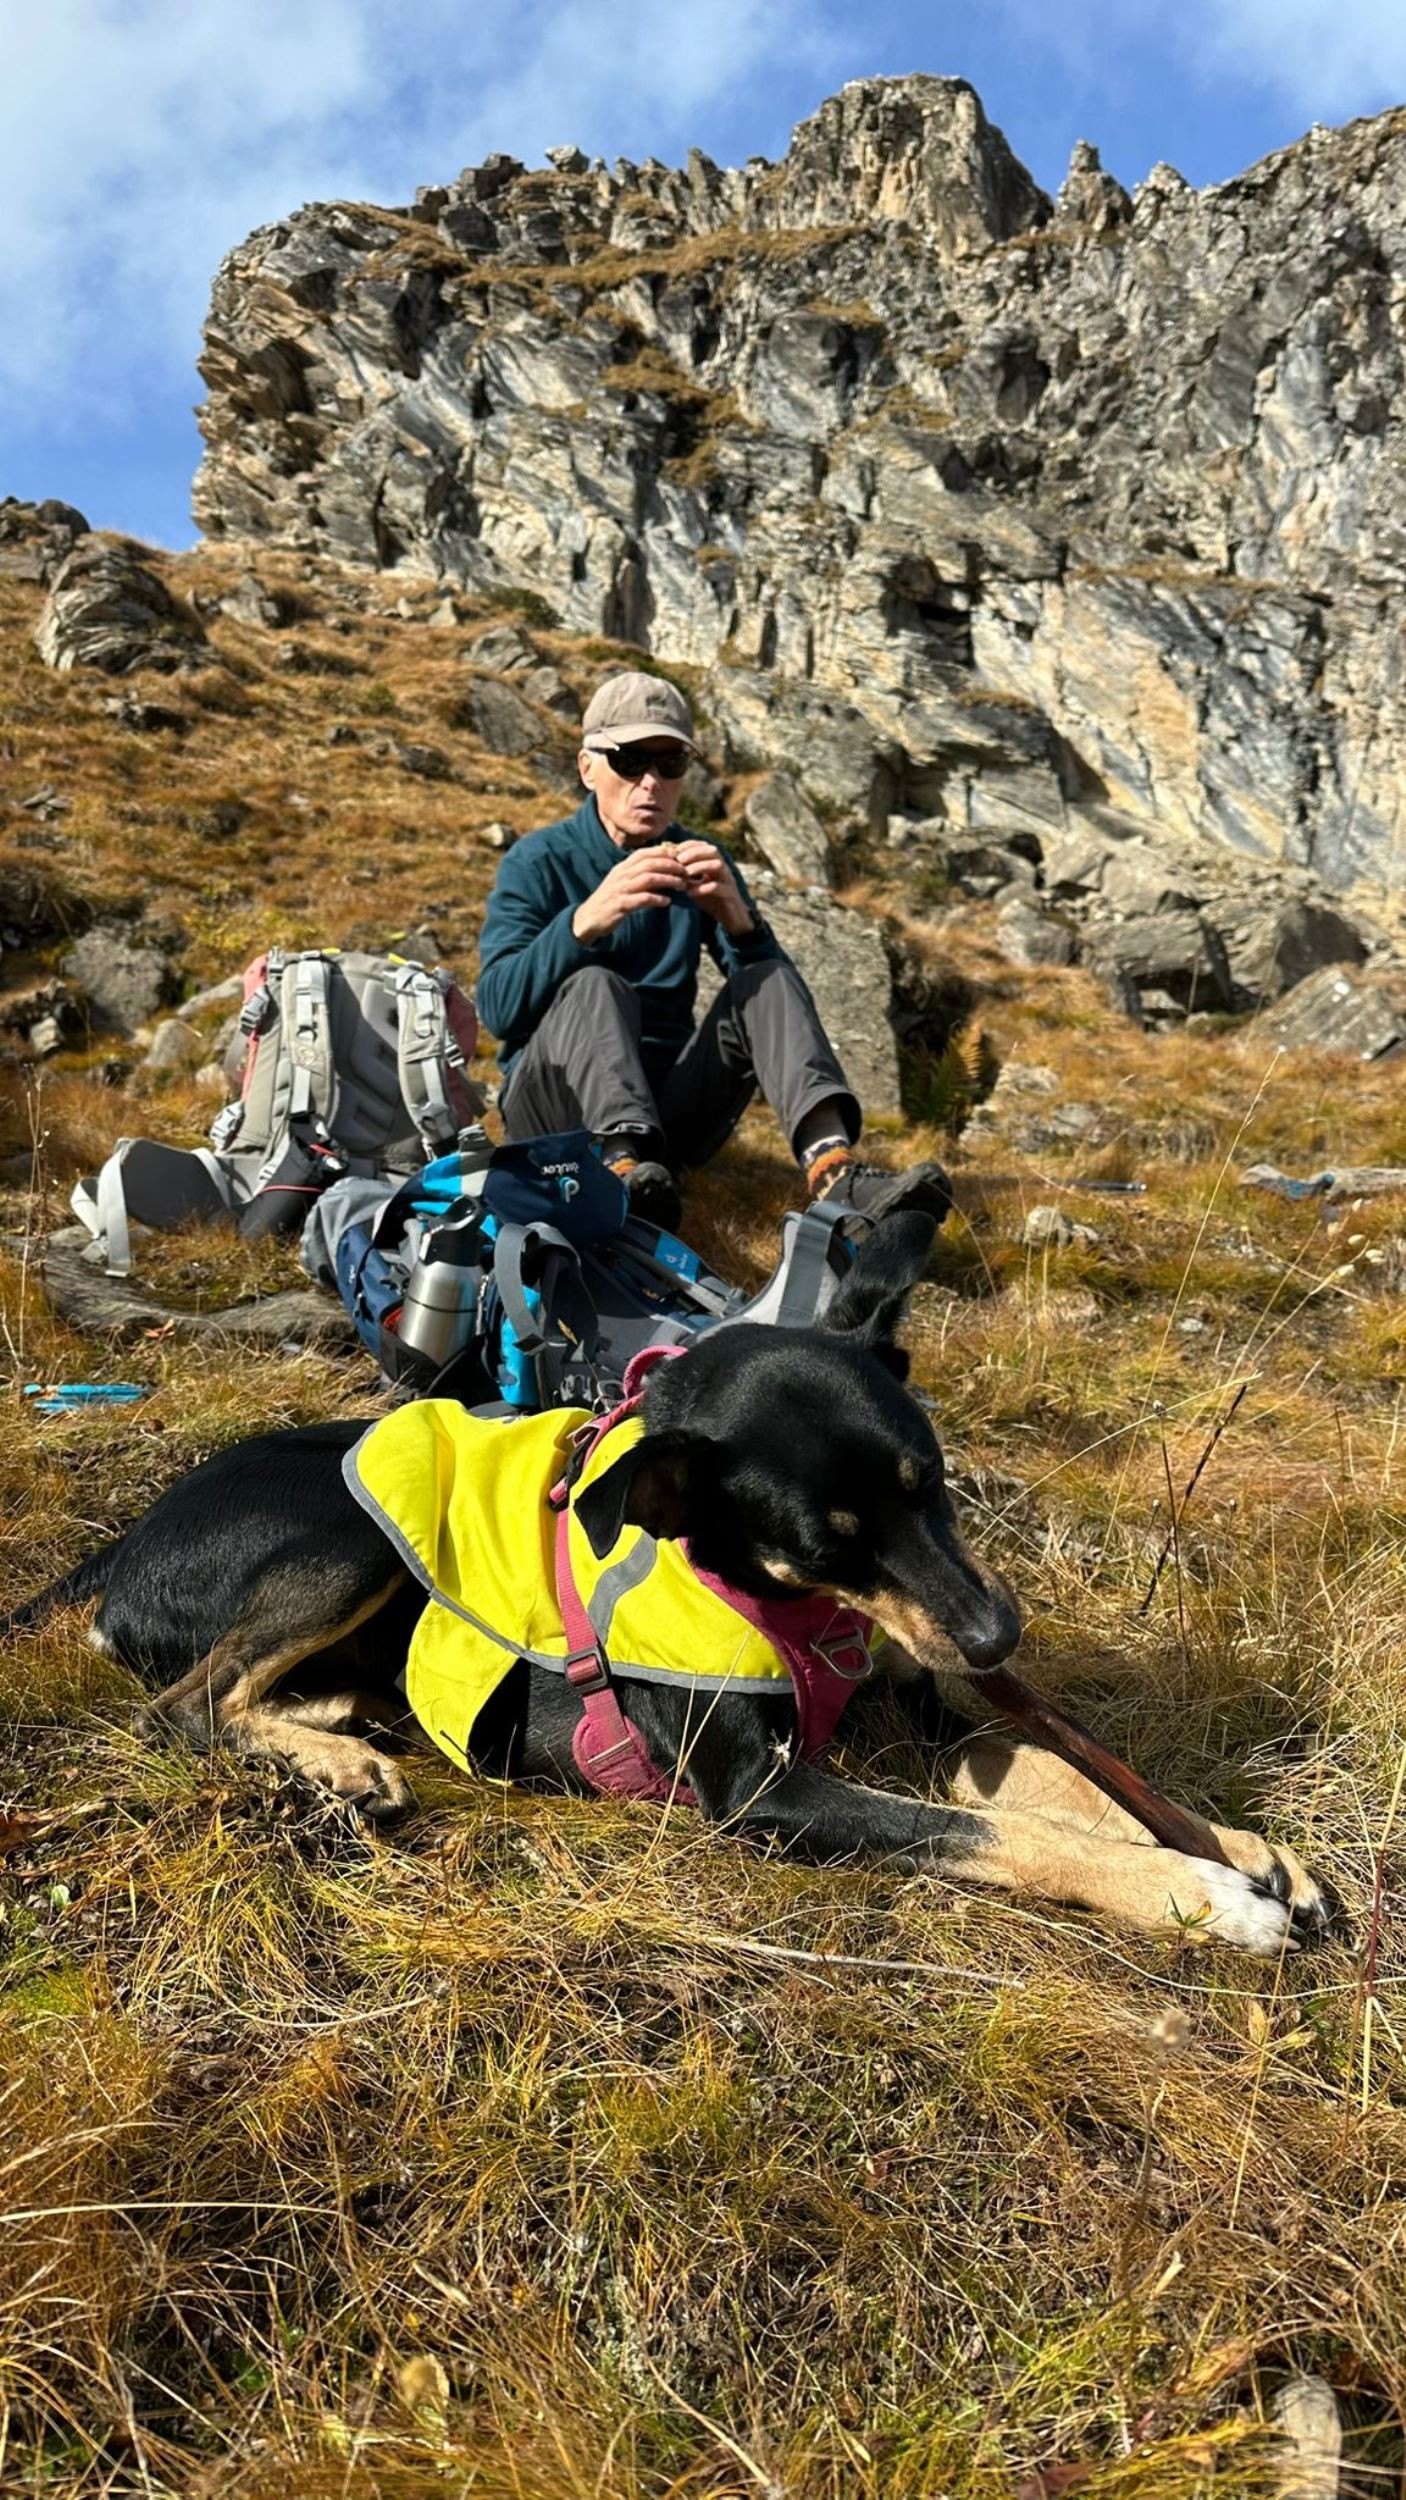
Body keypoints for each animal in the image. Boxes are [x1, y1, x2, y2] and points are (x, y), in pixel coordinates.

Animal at [13, 1215, 1320, 1950]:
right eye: (826, 1541)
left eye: (933, 1480)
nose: (996, 1640)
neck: (782, 1602)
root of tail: (122, 1544)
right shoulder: (762, 1795)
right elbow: (1010, 1830)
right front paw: (1199, 1896)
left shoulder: (920, 1705)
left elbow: (1068, 1776)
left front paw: (1237, 1845)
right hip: (354, 1534)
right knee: (182, 1706)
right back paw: (334, 1761)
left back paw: (335, 1730)